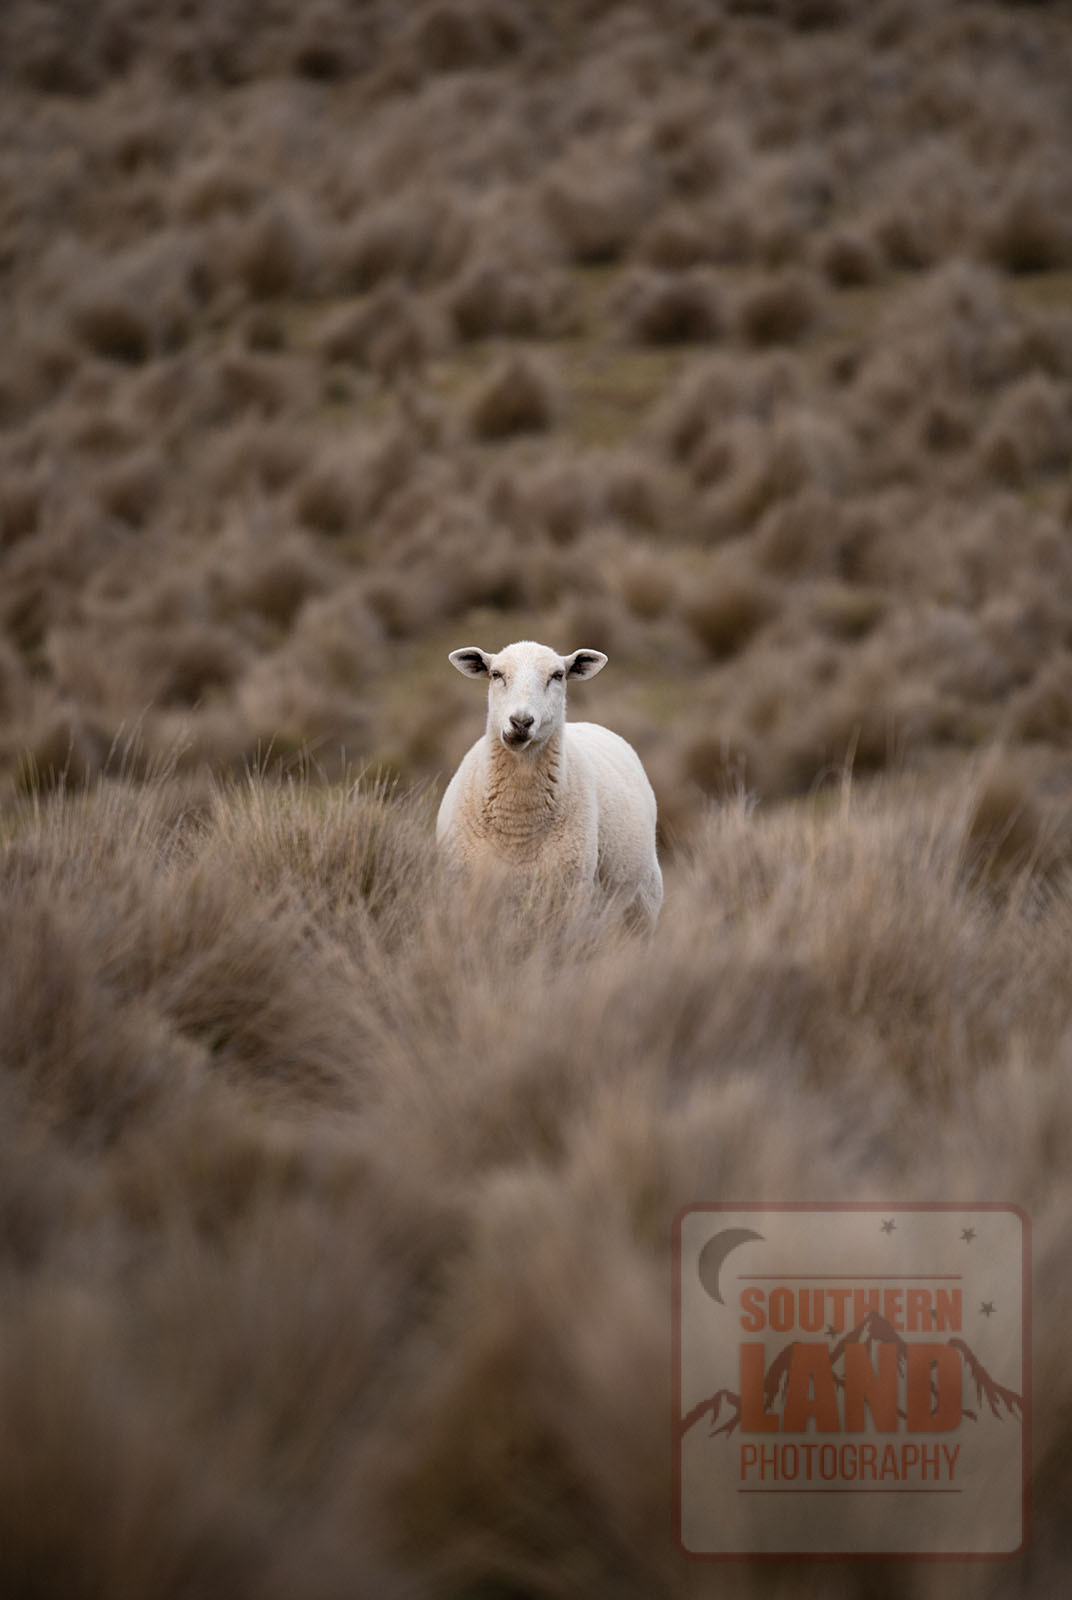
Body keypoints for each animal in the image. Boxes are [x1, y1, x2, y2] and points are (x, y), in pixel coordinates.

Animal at [437, 640, 663, 928]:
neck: (518, 827)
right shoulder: (466, 892)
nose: (521, 721)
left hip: (643, 903)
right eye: (496, 674)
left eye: (558, 675)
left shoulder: (569, 895)